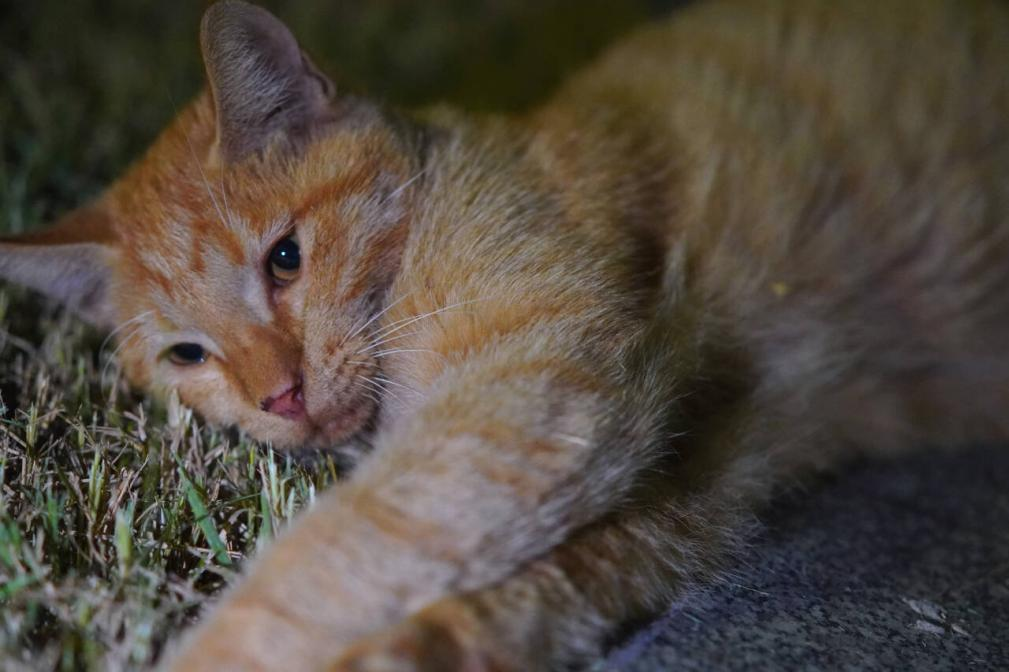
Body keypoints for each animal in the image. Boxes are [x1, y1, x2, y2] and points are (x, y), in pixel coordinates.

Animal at [1, 0, 1008, 665]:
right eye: (188, 354)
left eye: (284, 259)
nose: (278, 398)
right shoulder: (680, 502)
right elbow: (491, 609)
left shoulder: (528, 395)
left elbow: (326, 558)